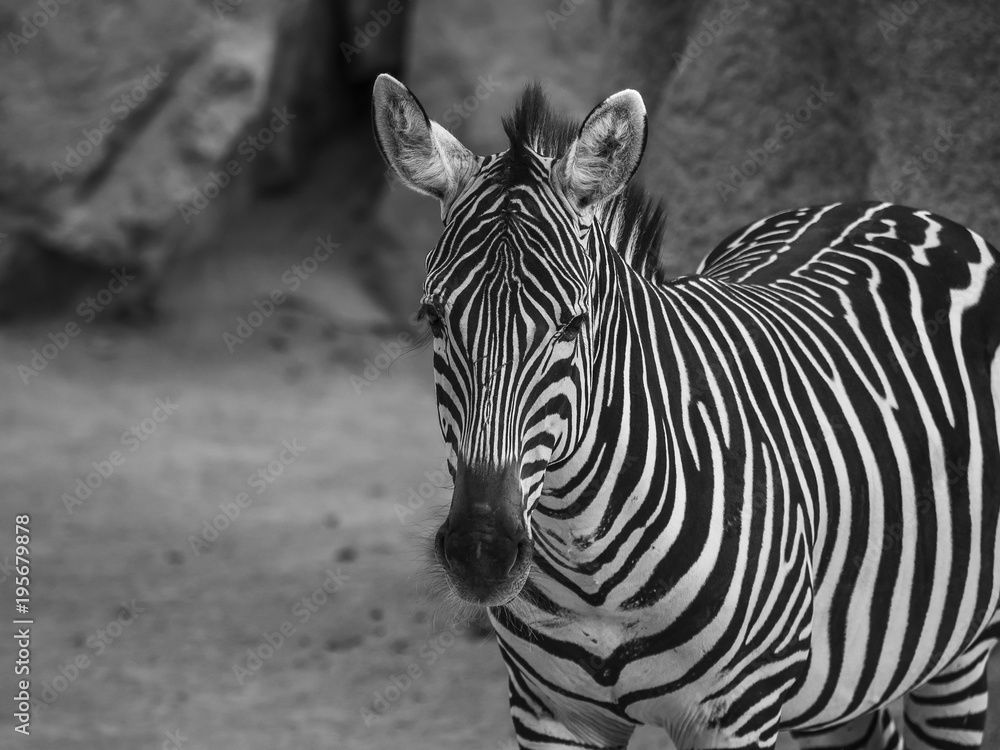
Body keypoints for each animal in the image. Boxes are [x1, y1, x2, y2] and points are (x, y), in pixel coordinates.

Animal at [370, 78, 1000, 750]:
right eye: (433, 319)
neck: (588, 565)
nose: (481, 552)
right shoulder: (547, 710)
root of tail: (895, 208)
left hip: (960, 650)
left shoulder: (739, 714)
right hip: (847, 676)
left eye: (571, 323)